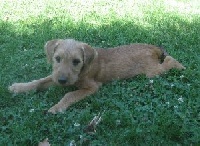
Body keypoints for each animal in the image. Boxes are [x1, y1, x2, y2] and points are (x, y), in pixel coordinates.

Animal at [8, 39, 186, 114]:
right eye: (57, 58)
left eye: (76, 61)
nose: (62, 81)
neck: (82, 70)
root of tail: (151, 47)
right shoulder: (55, 75)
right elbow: (38, 82)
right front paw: (18, 87)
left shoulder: (92, 87)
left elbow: (69, 94)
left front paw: (57, 107)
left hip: (152, 72)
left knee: (169, 60)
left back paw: (180, 66)